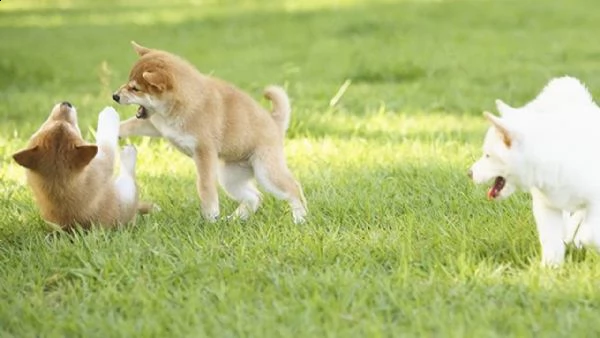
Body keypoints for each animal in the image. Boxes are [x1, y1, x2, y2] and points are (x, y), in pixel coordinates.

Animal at [12, 101, 150, 231]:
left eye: (48, 123)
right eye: (71, 125)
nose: (66, 103)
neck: (58, 185)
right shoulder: (103, 163)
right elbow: (107, 140)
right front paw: (108, 113)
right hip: (128, 194)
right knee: (129, 175)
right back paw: (129, 151)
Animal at [113, 41, 310, 223]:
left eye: (135, 88)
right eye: (128, 82)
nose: (115, 96)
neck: (183, 105)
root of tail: (274, 122)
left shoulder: (204, 151)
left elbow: (205, 186)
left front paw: (210, 216)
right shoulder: (156, 126)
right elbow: (129, 125)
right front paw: (115, 131)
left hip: (266, 171)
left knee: (293, 188)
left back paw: (300, 218)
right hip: (231, 177)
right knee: (255, 197)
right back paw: (234, 219)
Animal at [468, 76, 600, 266]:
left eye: (487, 155)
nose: (469, 173)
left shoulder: (595, 202)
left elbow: (590, 233)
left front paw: (581, 240)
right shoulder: (547, 207)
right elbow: (551, 240)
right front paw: (550, 268)